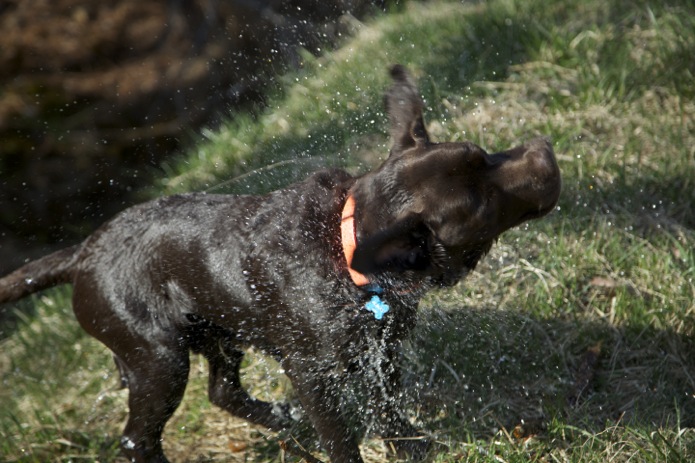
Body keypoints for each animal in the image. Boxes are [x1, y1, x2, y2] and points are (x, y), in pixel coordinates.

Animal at [0, 66, 564, 463]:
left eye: (483, 152)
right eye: (481, 206)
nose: (547, 152)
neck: (345, 250)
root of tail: (83, 252)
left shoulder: (381, 353)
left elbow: (388, 411)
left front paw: (412, 449)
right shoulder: (312, 373)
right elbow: (341, 438)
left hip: (217, 328)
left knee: (222, 390)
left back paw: (281, 420)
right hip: (158, 359)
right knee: (138, 439)